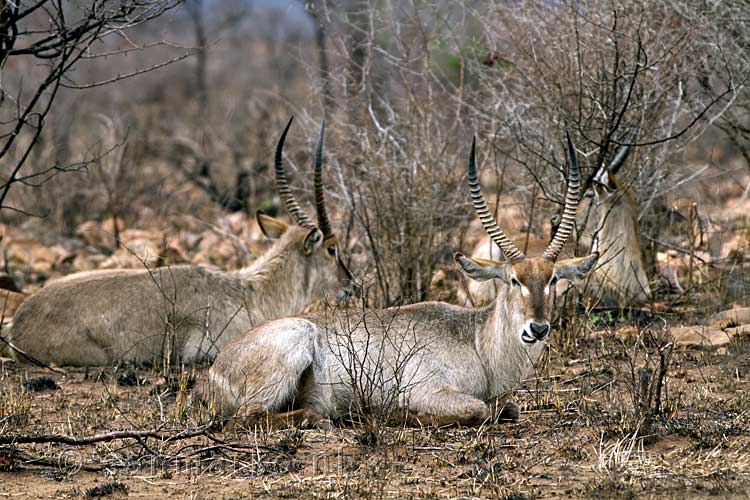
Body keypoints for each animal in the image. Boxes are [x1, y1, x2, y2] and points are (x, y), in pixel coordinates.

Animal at [198, 134, 600, 426]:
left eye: (553, 279)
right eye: (514, 280)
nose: (538, 328)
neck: (477, 343)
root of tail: (217, 369)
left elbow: (508, 408)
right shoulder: (430, 390)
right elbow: (480, 409)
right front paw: (401, 413)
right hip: (296, 340)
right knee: (247, 417)